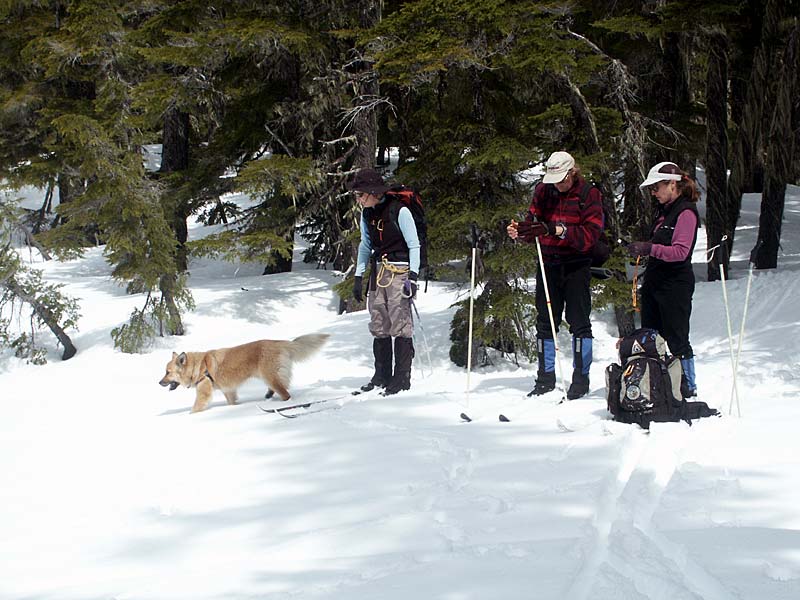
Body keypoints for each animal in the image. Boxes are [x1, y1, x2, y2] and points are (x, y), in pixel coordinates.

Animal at [159, 332, 328, 412]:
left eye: (167, 372)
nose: (159, 382)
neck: (198, 366)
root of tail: (279, 343)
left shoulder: (204, 393)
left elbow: (195, 409)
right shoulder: (229, 390)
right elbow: (232, 402)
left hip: (270, 376)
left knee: (286, 394)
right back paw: (268, 396)